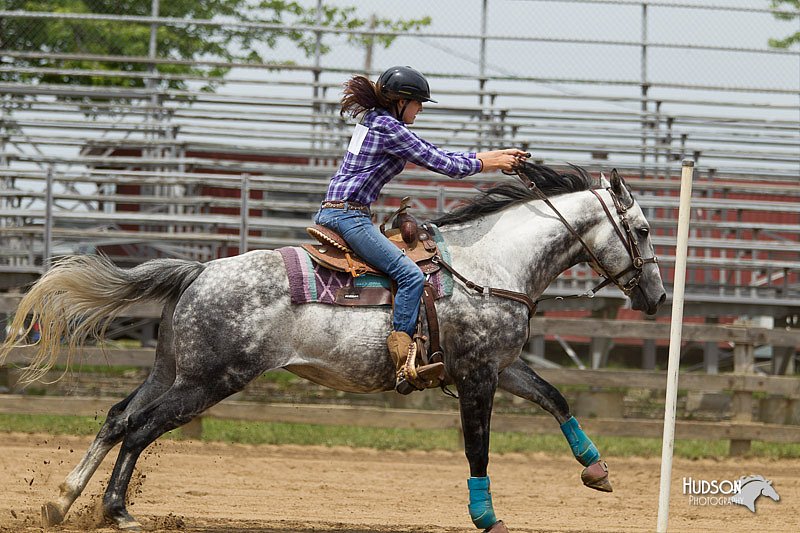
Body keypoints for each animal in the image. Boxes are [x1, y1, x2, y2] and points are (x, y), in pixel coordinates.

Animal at [1, 161, 668, 528]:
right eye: (640, 230)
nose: (659, 297)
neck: (488, 266)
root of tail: (200, 270)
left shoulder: (499, 366)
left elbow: (556, 397)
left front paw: (597, 470)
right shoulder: (478, 376)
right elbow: (478, 449)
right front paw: (487, 518)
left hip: (171, 370)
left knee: (119, 418)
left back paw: (63, 502)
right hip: (208, 381)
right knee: (140, 429)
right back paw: (117, 511)